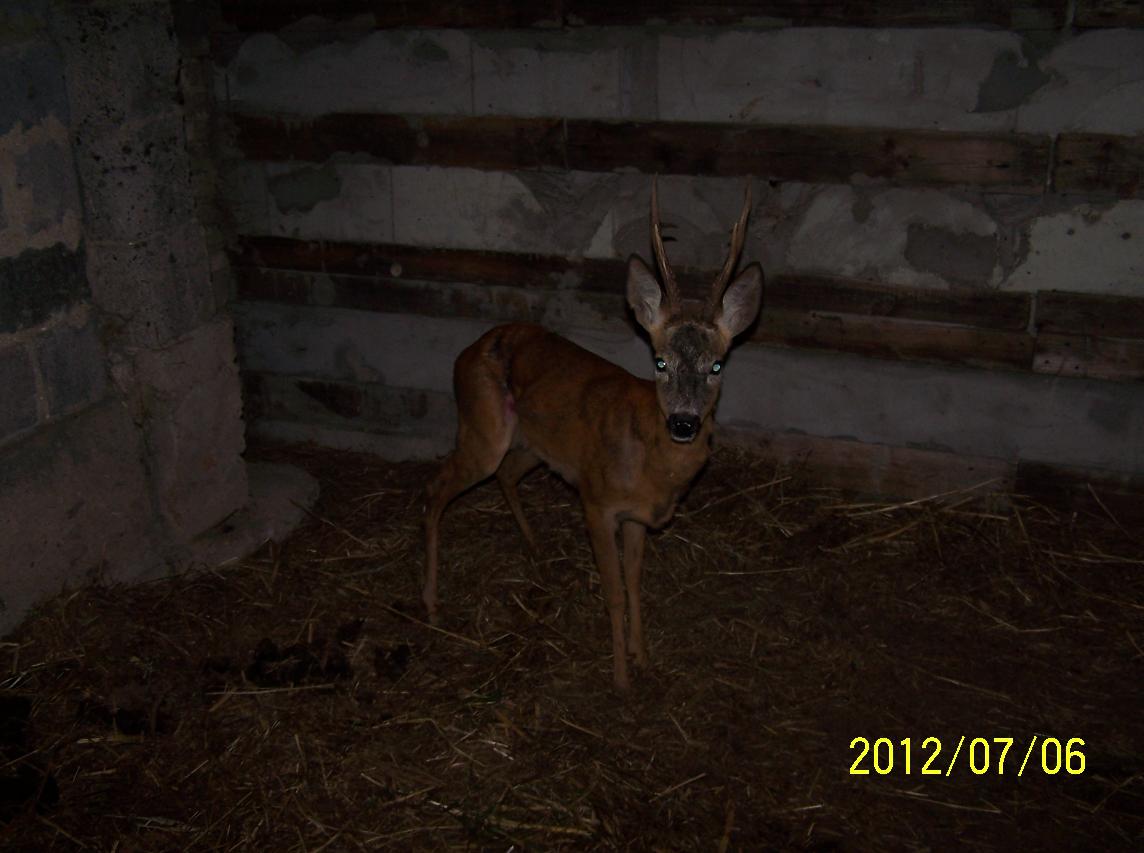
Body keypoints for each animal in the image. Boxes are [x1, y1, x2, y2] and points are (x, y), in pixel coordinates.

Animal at [423, 179, 763, 691]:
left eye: (717, 366)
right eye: (660, 361)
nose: (684, 423)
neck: (652, 467)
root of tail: (467, 351)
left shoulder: (637, 516)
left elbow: (636, 583)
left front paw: (643, 657)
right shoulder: (597, 503)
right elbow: (615, 591)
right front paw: (621, 679)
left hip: (534, 443)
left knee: (505, 474)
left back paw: (534, 546)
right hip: (483, 427)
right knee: (438, 484)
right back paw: (430, 600)